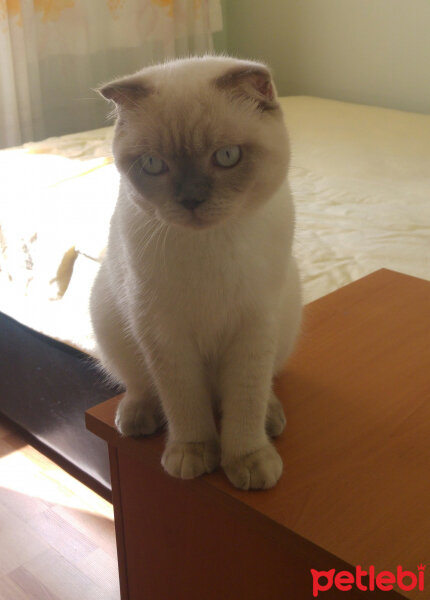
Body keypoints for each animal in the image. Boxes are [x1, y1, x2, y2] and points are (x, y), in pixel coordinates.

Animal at [89, 55, 300, 488]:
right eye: (154, 164)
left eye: (227, 156)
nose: (191, 200)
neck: (210, 247)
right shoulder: (164, 334)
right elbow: (185, 405)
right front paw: (193, 456)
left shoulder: (254, 327)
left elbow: (245, 403)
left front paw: (249, 462)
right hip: (108, 319)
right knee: (140, 386)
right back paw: (135, 419)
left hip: (287, 319)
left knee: (261, 389)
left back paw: (272, 420)